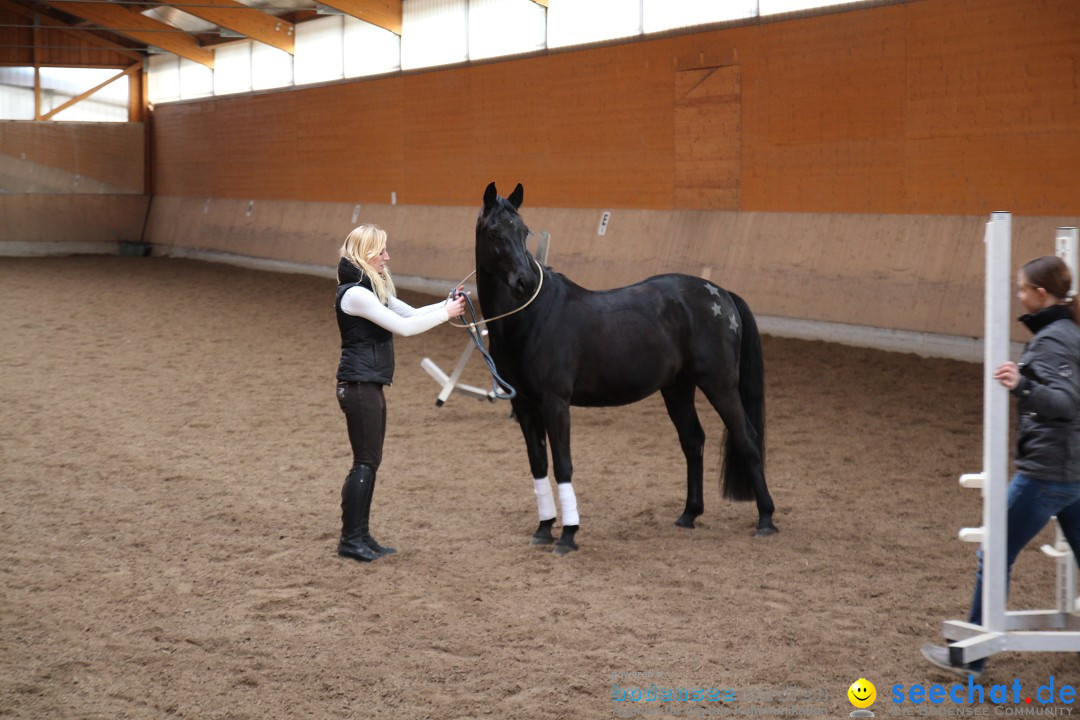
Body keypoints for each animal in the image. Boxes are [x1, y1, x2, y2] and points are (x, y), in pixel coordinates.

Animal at [477, 183, 773, 557]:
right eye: (493, 231)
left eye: (524, 230)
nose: (525, 282)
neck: (531, 317)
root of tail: (721, 293)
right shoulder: (524, 405)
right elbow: (539, 464)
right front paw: (544, 529)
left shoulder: (555, 402)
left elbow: (563, 464)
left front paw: (568, 535)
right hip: (678, 388)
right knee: (693, 441)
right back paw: (689, 514)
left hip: (719, 384)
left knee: (746, 438)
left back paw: (766, 519)